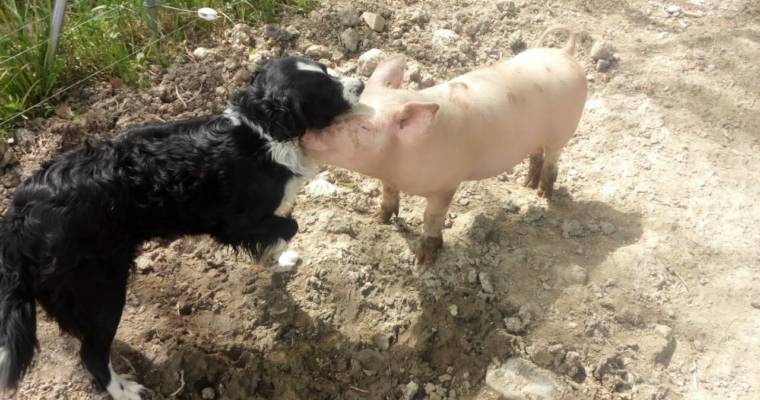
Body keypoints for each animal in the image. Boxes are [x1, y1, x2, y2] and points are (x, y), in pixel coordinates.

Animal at [0, 55, 366, 396]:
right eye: (325, 92)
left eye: (327, 70)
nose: (361, 84)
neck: (261, 131)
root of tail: (19, 215)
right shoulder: (237, 222)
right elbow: (290, 226)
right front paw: (278, 256)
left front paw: (276, 261)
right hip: (101, 288)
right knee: (91, 354)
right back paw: (125, 390)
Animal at [302, 27, 588, 266]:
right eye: (344, 110)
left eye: (364, 128)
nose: (305, 133)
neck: (398, 162)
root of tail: (565, 52)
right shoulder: (390, 179)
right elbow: (388, 195)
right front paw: (377, 220)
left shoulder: (446, 185)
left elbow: (432, 218)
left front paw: (422, 261)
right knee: (536, 153)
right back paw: (527, 185)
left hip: (564, 129)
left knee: (553, 159)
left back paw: (542, 195)